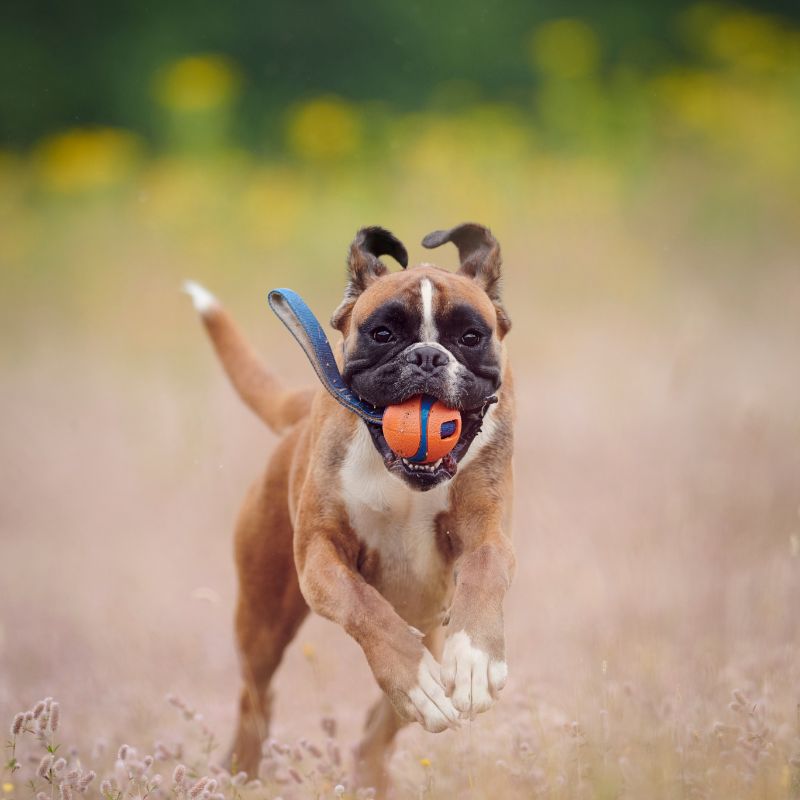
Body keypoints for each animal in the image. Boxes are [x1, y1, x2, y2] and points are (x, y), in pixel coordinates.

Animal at [184, 222, 516, 792]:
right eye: (383, 333)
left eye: (470, 337)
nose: (427, 356)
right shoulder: (319, 558)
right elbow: (365, 608)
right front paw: (412, 679)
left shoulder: (487, 532)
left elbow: (485, 570)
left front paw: (475, 660)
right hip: (262, 621)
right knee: (256, 699)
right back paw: (242, 773)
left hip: (429, 621)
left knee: (376, 731)